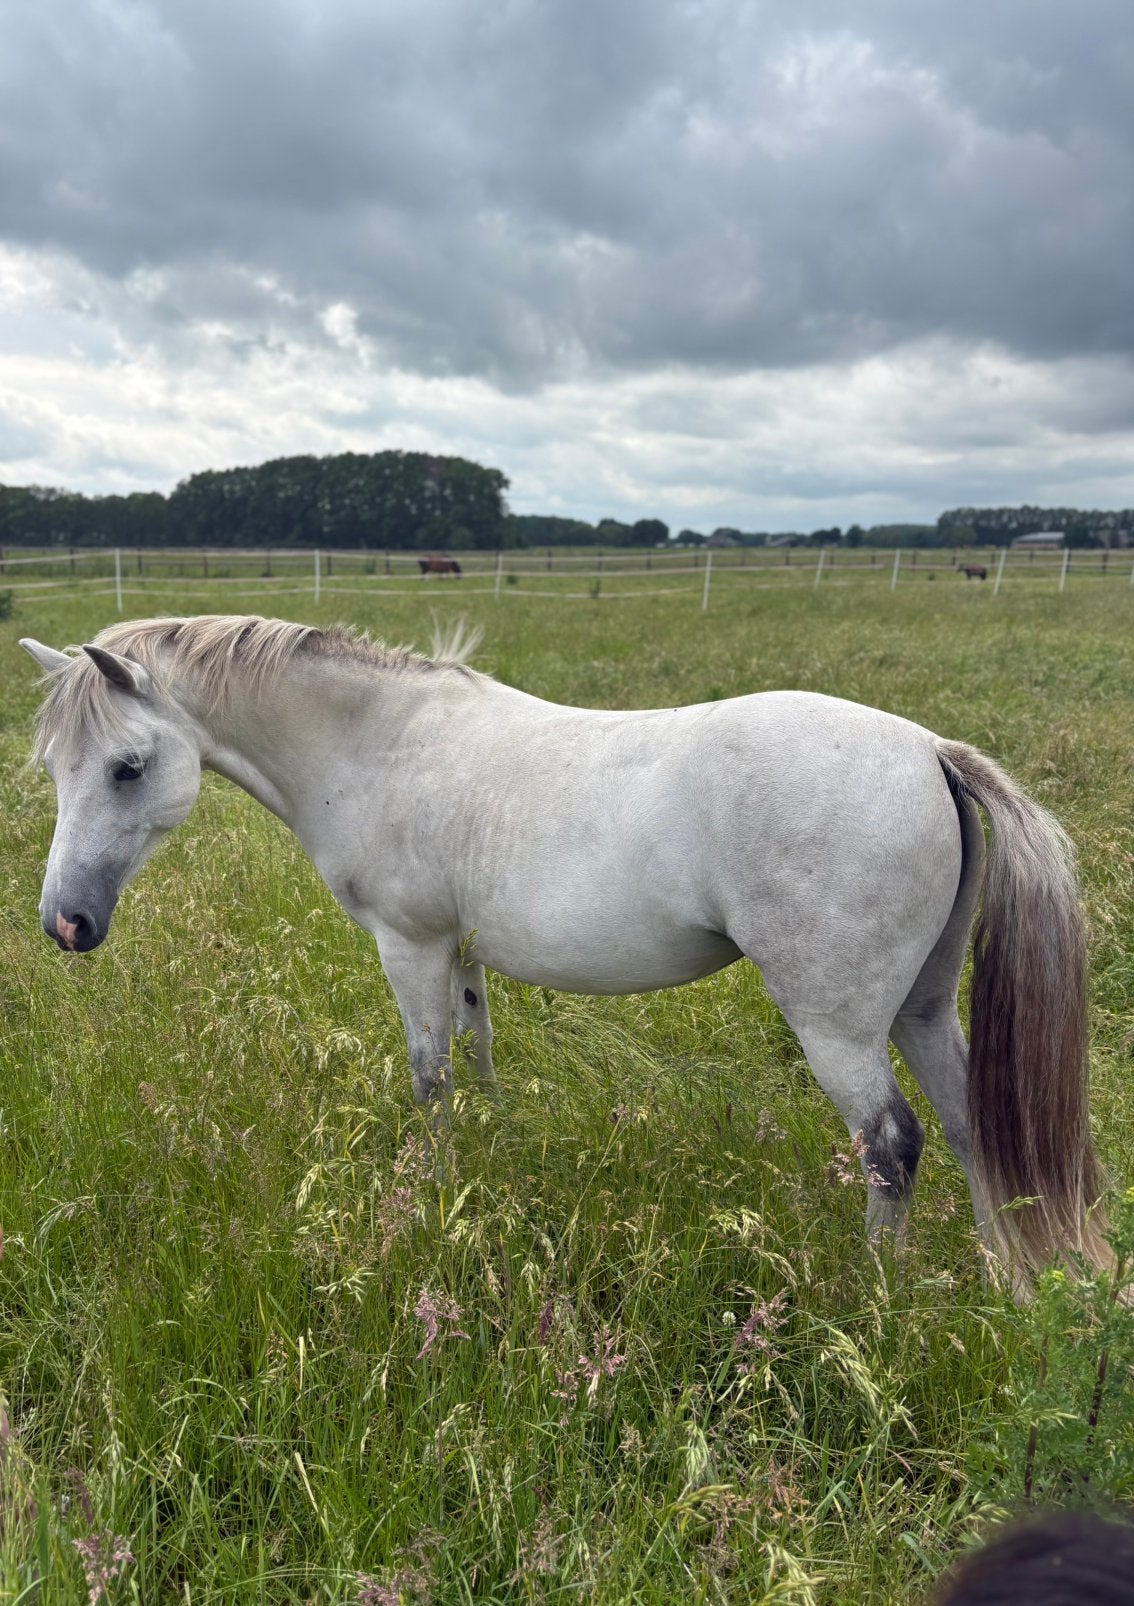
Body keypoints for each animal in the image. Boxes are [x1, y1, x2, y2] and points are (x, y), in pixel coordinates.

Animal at [19, 615, 1109, 1290]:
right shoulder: (461, 952)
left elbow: (430, 1079)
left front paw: (433, 1198)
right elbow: (480, 1058)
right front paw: (490, 1175)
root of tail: (930, 751)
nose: (65, 923)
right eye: (57, 767)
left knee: (892, 1145)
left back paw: (874, 1302)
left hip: (838, 1026)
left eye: (126, 768)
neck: (379, 744)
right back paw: (1000, 1276)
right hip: (922, 1008)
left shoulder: (412, 947)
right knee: (974, 1125)